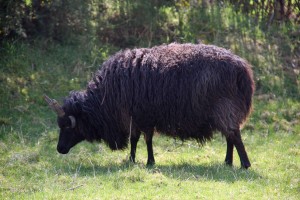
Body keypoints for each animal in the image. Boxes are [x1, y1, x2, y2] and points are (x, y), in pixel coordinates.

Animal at [45, 42, 255, 169]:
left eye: (68, 127)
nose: (59, 149)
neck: (104, 100)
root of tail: (242, 70)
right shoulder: (136, 118)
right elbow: (135, 139)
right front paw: (131, 159)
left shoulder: (142, 116)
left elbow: (145, 139)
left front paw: (149, 161)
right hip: (226, 111)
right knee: (230, 136)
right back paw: (227, 162)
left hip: (225, 108)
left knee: (234, 136)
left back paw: (245, 164)